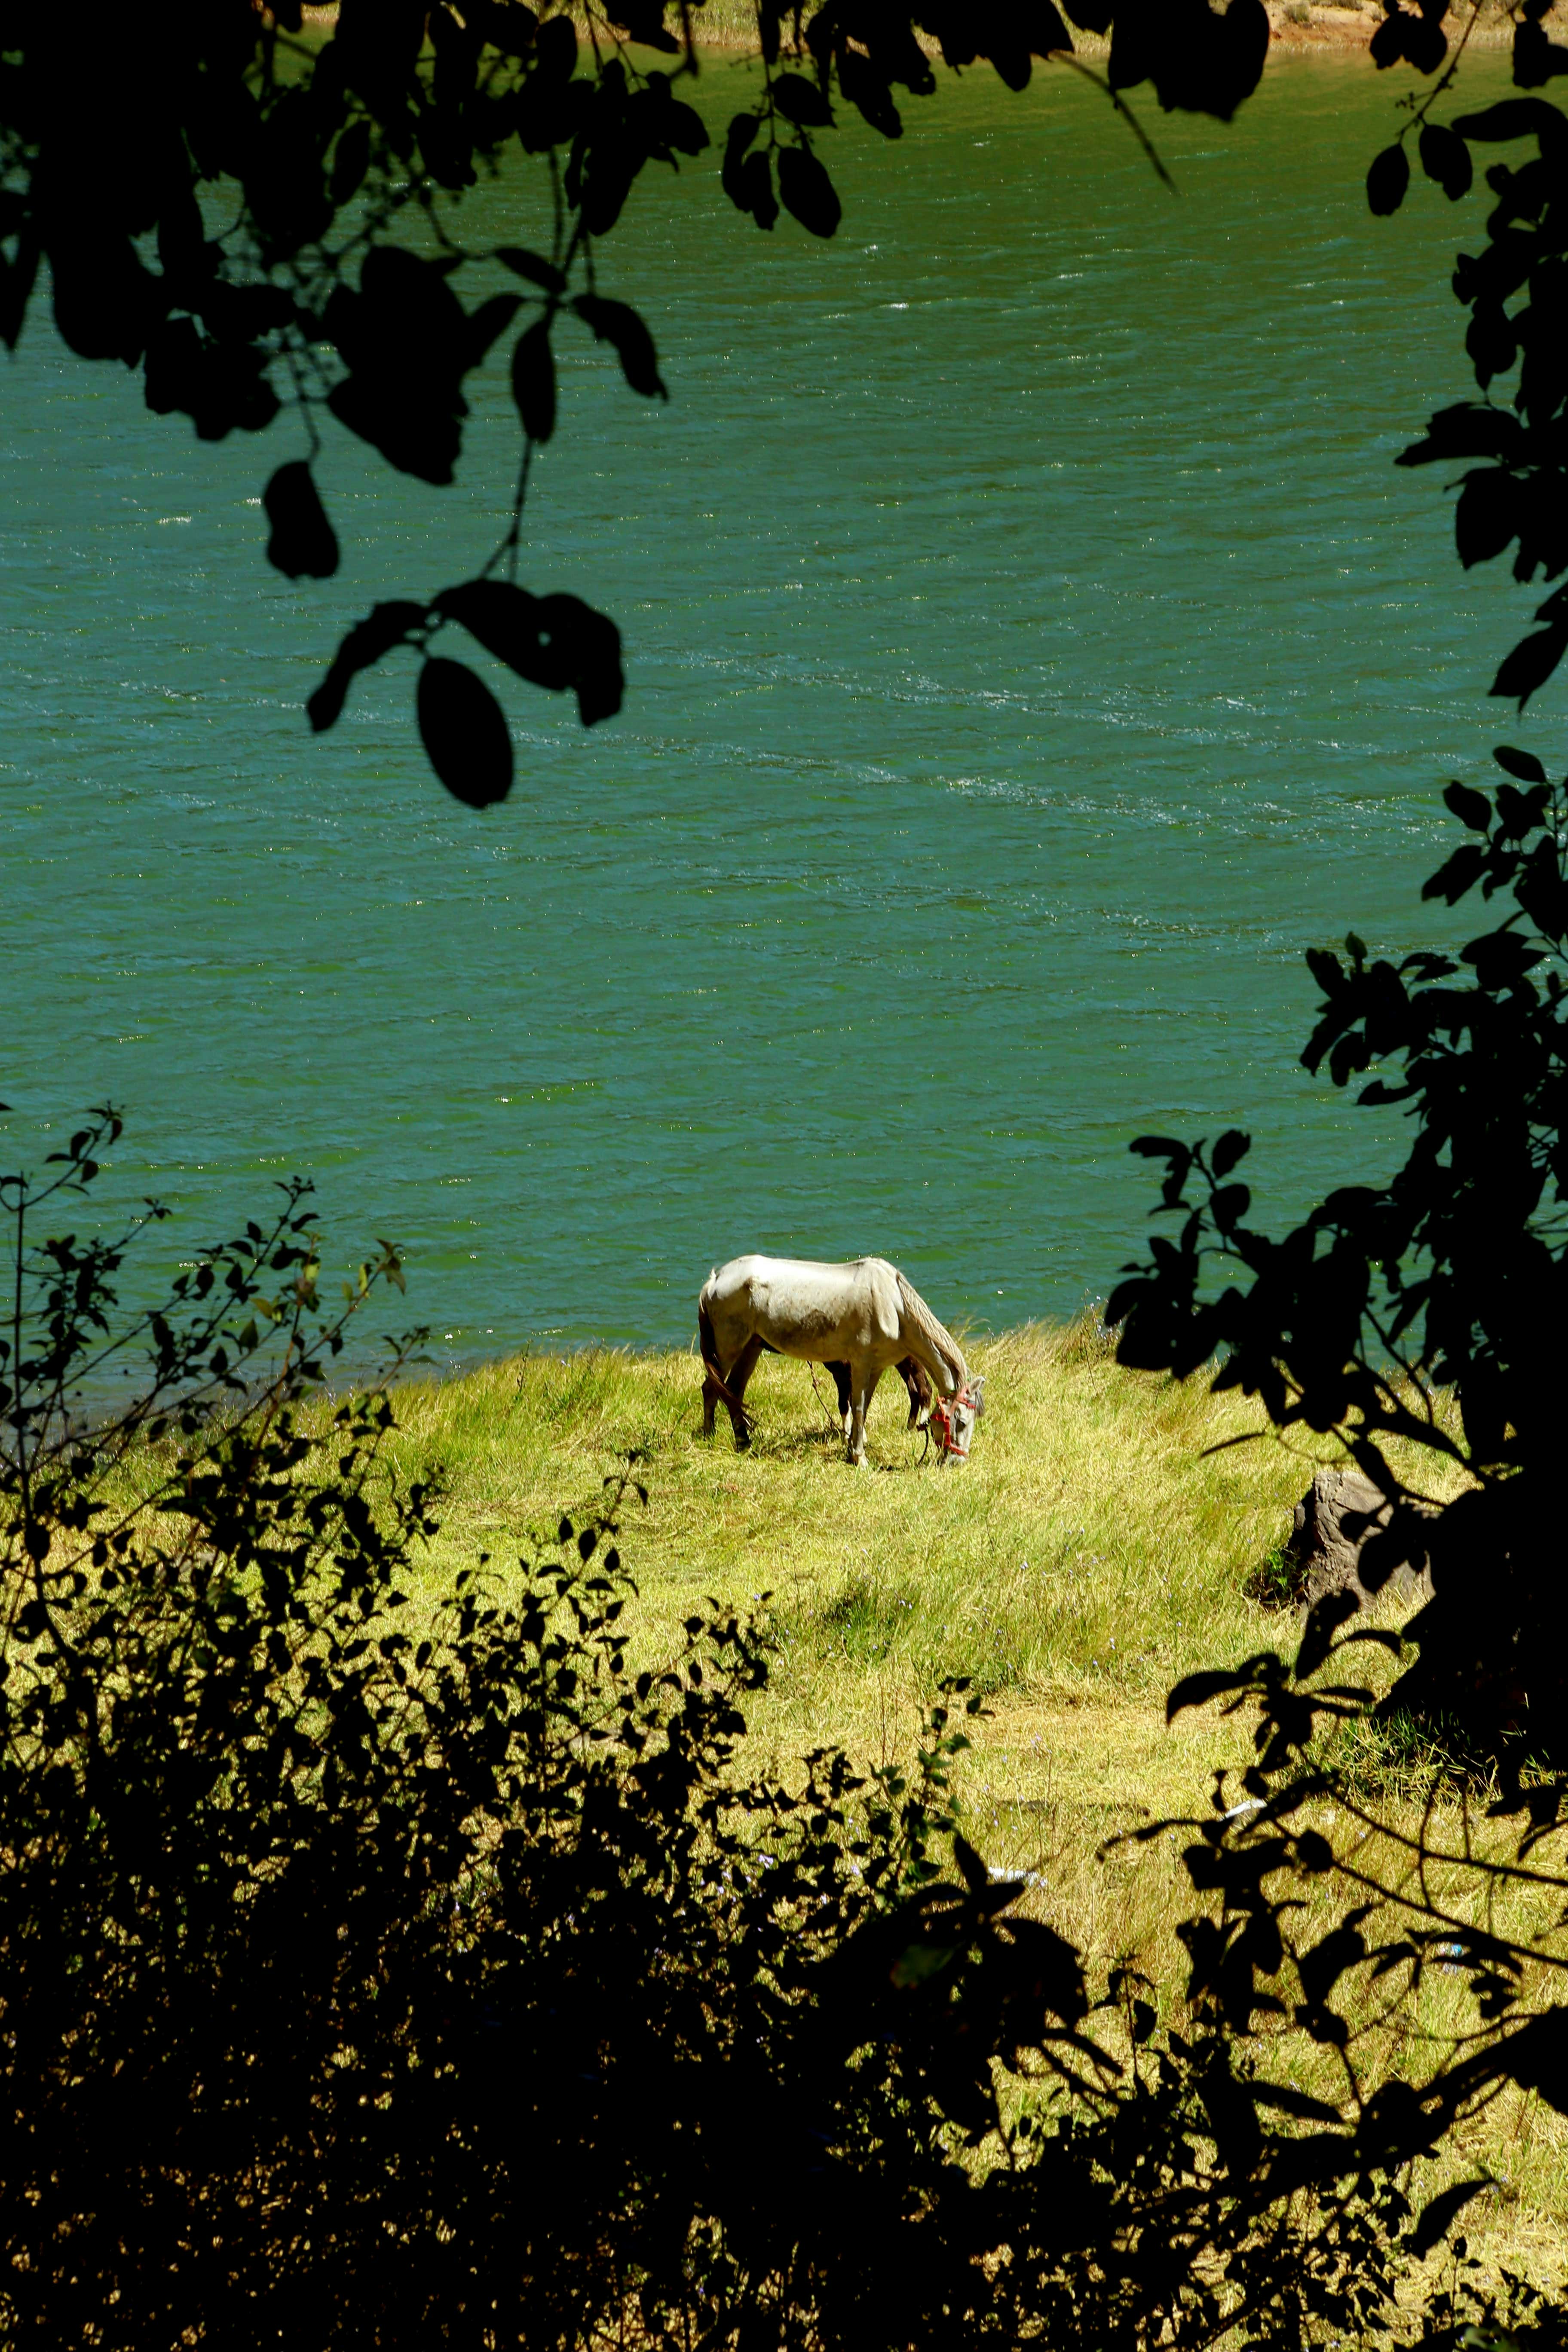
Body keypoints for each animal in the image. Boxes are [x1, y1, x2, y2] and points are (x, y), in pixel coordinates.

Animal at [697, 1254, 984, 1467]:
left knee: (734, 1391)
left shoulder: (877, 1367)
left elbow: (864, 1408)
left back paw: (743, 1443)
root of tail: (715, 1280)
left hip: (751, 1347)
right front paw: (859, 1458)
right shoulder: (860, 1363)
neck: (893, 1304)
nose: (957, 1462)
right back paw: (709, 1437)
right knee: (711, 1388)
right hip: (729, 1348)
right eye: (960, 1422)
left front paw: (852, 1450)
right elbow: (856, 1407)